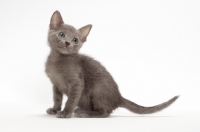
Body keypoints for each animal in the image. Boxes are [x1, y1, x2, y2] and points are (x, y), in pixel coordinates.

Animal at [45, 10, 178, 117]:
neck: (56, 61)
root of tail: (118, 97)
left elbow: (71, 100)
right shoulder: (55, 84)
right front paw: (55, 109)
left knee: (105, 112)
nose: (67, 43)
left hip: (98, 91)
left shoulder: (77, 83)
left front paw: (66, 112)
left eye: (75, 40)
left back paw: (84, 112)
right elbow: (57, 98)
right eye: (61, 34)